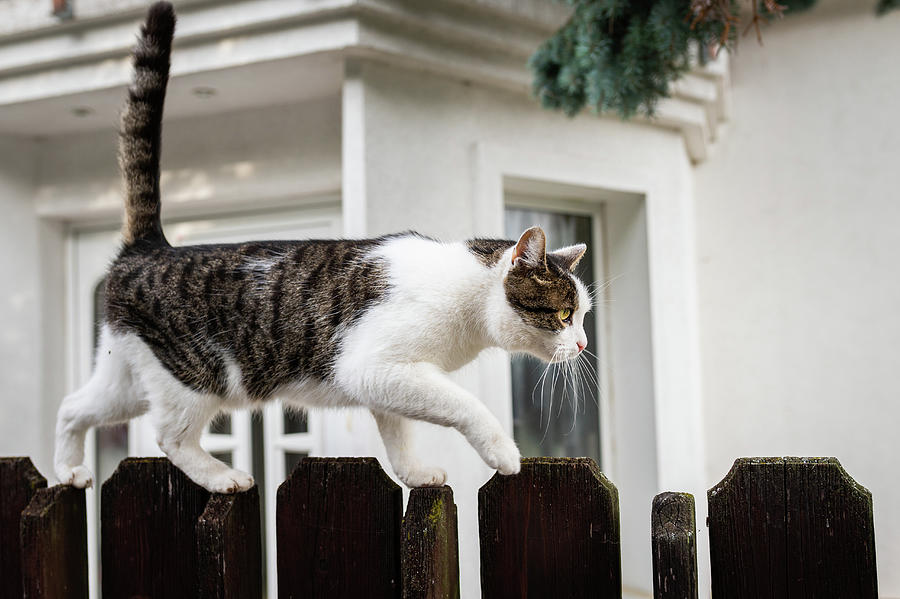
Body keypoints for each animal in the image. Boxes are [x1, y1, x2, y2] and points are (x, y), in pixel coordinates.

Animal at [54, 2, 592, 494]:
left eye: (583, 317)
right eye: (565, 315)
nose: (585, 343)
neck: (468, 294)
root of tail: (150, 247)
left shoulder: (387, 381)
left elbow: (398, 432)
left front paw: (415, 474)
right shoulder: (375, 366)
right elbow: (463, 404)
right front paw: (503, 452)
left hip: (131, 374)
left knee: (72, 407)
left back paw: (68, 471)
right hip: (195, 376)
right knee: (170, 437)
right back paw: (223, 477)